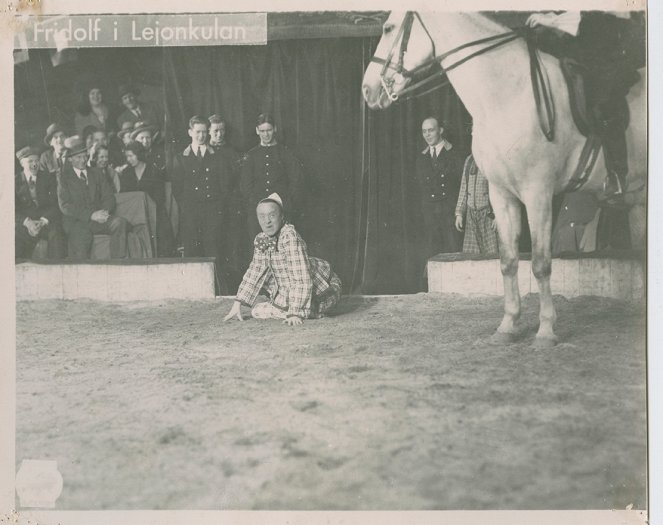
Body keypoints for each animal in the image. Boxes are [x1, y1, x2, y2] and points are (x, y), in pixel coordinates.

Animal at [360, 10, 644, 346]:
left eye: (389, 28)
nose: (368, 90)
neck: (509, 95)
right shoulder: (502, 194)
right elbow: (508, 262)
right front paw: (508, 326)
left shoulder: (537, 194)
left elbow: (540, 264)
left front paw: (546, 330)